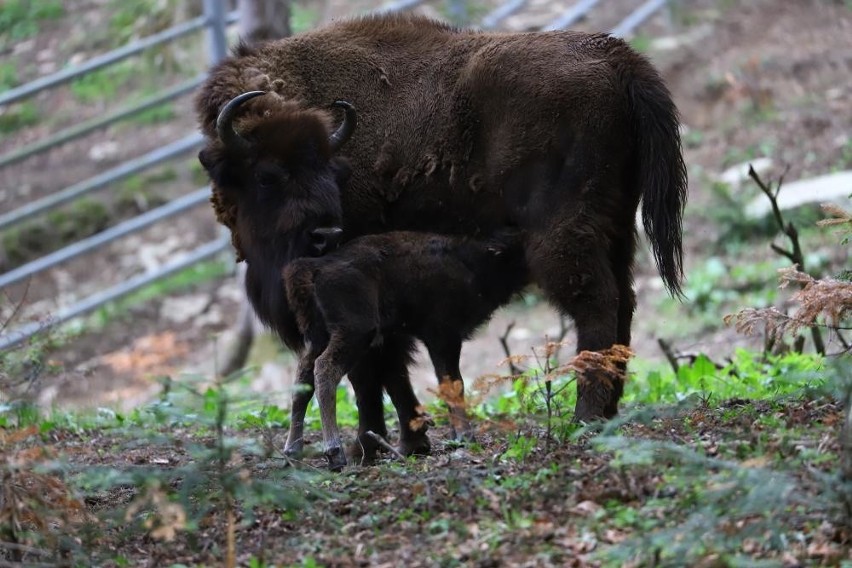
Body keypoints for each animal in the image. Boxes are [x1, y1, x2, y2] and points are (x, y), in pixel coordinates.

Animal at [196, 12, 688, 426]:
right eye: (268, 175)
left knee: (596, 305)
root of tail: (618, 57)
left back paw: (584, 417)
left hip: (562, 236)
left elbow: (371, 368)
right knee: (624, 303)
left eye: (333, 170)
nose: (325, 234)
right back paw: (610, 411)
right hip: (617, 226)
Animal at [282, 229, 528, 468]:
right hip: (354, 333)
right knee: (324, 369)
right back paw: (335, 453)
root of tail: (316, 266)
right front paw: (464, 437)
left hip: (319, 336)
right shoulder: (443, 335)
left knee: (303, 378)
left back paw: (292, 452)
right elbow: (452, 382)